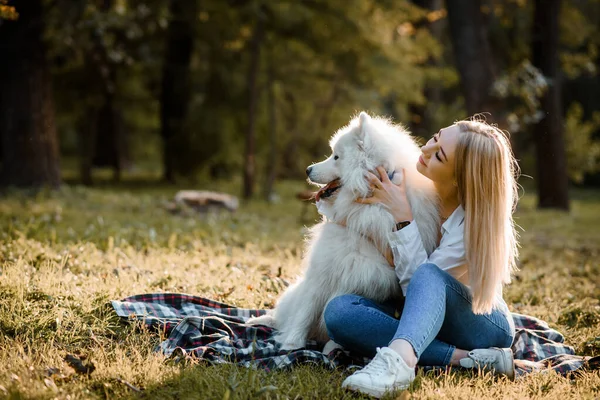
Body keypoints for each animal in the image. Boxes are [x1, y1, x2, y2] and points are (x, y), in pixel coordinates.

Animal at [246, 111, 438, 350]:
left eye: (336, 157)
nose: (307, 169)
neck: (366, 207)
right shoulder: (323, 269)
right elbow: (305, 312)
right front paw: (291, 345)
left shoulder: (362, 278)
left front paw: (333, 348)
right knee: (283, 313)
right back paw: (260, 321)